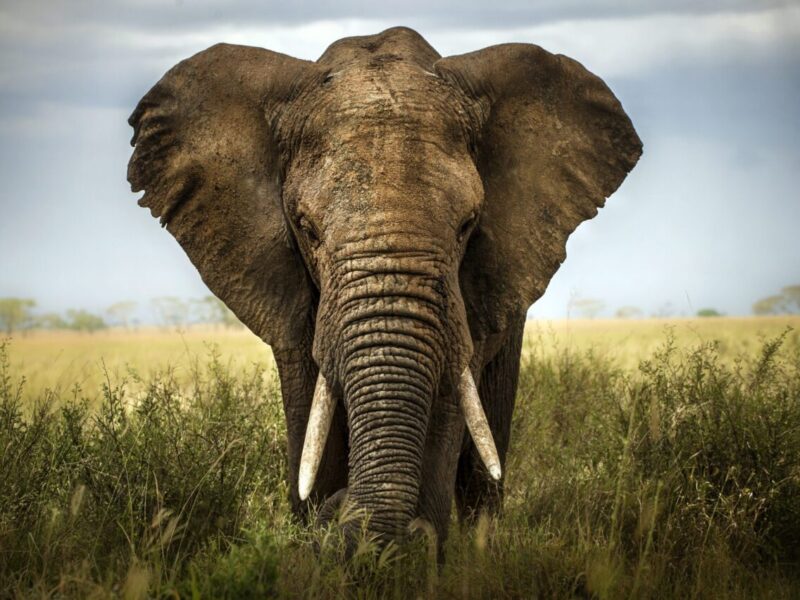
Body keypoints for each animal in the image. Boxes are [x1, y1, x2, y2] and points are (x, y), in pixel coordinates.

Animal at [127, 26, 641, 551]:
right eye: (307, 229)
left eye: (467, 225)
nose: (340, 512)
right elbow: (311, 413)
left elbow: (446, 405)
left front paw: (411, 552)